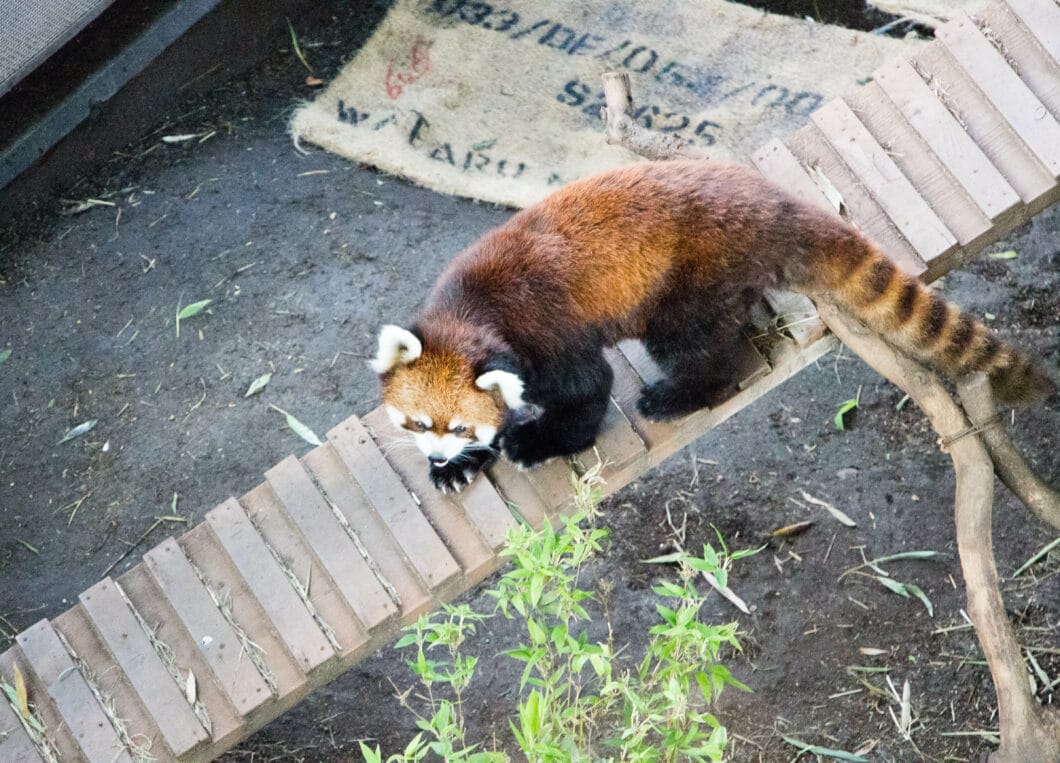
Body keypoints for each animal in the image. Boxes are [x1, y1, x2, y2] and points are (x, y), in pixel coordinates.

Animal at [370, 163, 1051, 491]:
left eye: (459, 424)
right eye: (417, 424)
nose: (439, 451)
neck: (474, 310)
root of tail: (772, 201)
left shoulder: (547, 328)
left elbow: (587, 390)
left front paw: (536, 441)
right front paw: (456, 468)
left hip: (693, 275)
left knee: (698, 347)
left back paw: (681, 392)